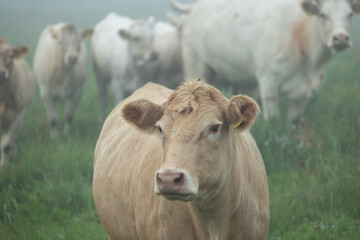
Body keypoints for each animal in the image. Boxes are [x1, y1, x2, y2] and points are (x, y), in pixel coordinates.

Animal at [171, 0, 360, 124]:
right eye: (323, 14)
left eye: (350, 14)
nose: (340, 38)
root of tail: (194, 7)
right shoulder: (269, 83)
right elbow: (273, 121)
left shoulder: (304, 94)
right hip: (195, 64)